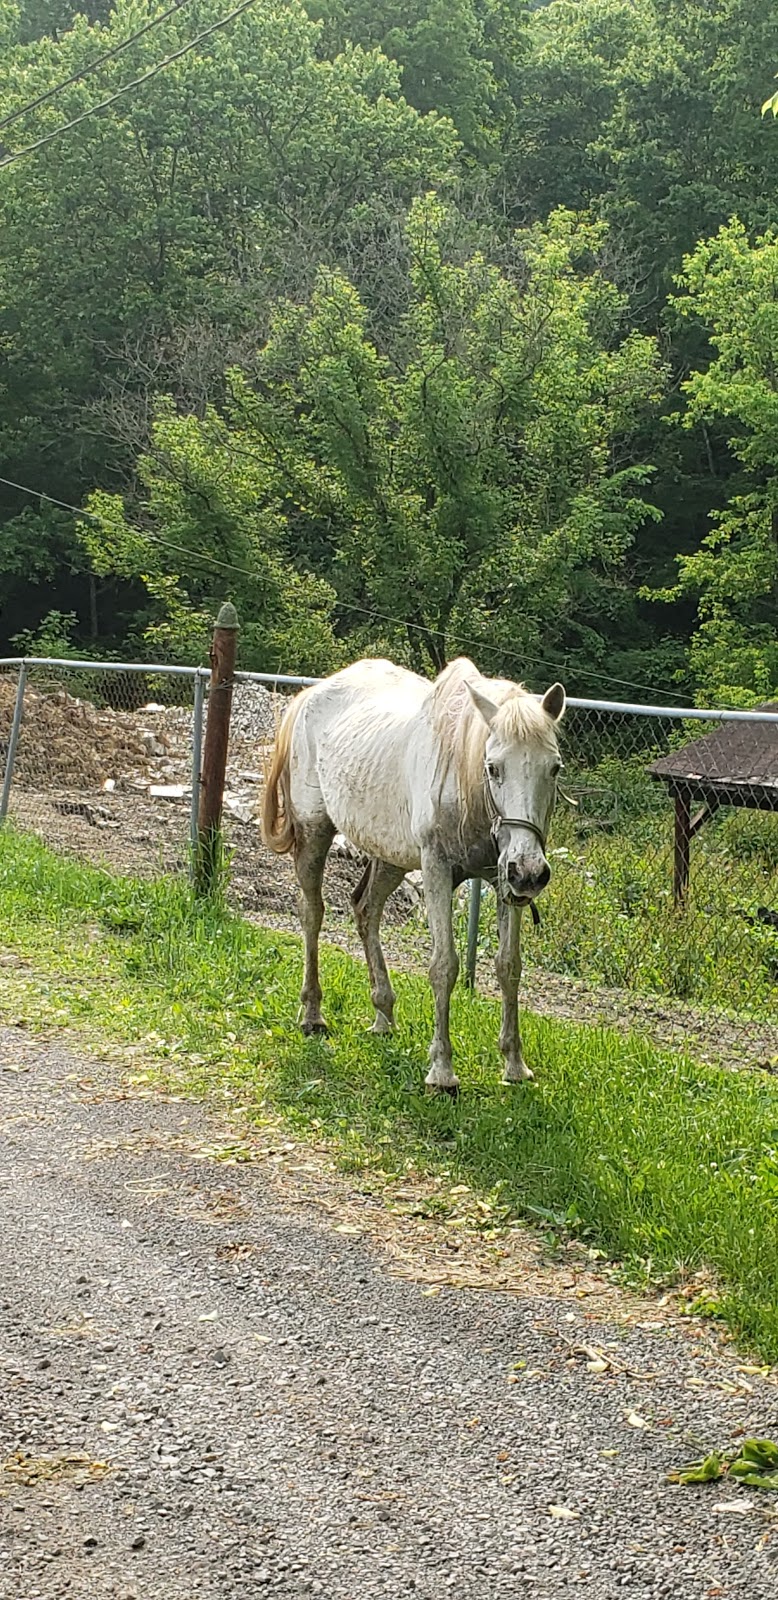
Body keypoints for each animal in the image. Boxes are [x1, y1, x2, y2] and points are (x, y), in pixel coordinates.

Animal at [262, 656, 566, 1094]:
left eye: (554, 768)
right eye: (493, 768)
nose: (529, 871)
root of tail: (309, 696)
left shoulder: (503, 881)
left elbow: (509, 966)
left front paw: (514, 1065)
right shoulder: (437, 869)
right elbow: (444, 966)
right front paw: (442, 1071)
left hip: (390, 859)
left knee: (366, 911)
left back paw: (383, 1015)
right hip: (314, 832)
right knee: (312, 913)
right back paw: (313, 1014)